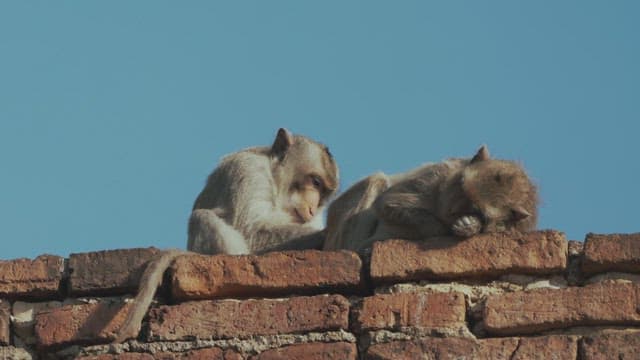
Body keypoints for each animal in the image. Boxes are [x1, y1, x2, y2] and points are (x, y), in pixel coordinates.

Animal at [113, 128, 340, 342]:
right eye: (315, 182)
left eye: (323, 193)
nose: (312, 208)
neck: (275, 180)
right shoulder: (248, 171)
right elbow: (251, 232)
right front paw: (324, 233)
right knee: (201, 217)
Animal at [322, 144, 536, 253]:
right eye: (461, 186)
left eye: (476, 209)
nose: (452, 210)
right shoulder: (436, 175)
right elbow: (388, 202)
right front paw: (452, 227)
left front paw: (470, 225)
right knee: (376, 180)